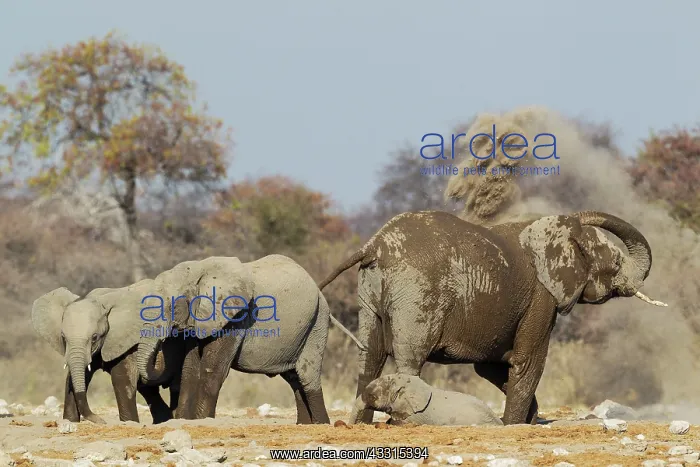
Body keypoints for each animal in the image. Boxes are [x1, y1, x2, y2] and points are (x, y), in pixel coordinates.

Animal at [31, 280, 185, 424]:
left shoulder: (125, 341)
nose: (102, 421)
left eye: (94, 337)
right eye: (63, 337)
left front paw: (129, 423)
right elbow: (74, 379)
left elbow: (121, 379)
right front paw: (70, 421)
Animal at [137, 254, 352, 424]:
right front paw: (184, 421)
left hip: (317, 322)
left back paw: (321, 425)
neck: (200, 270)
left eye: (172, 306)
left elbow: (211, 370)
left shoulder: (235, 317)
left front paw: (203, 420)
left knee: (307, 375)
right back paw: (303, 425)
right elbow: (189, 369)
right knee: (294, 378)